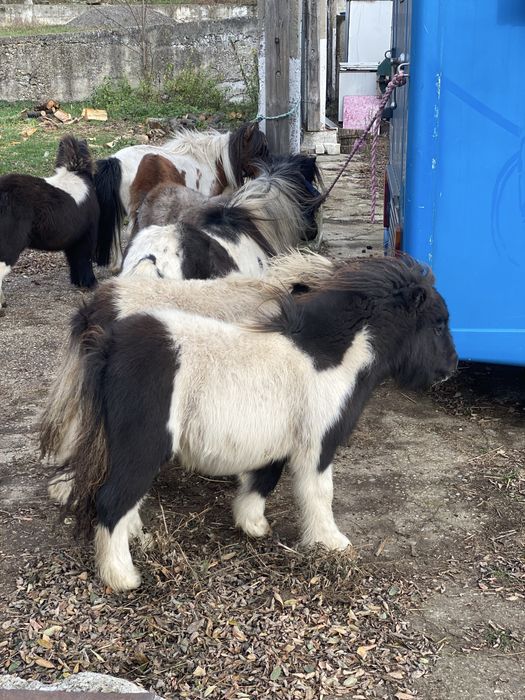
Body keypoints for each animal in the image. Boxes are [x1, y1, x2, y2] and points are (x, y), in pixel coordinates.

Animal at [0, 135, 100, 308]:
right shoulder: (86, 235)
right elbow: (83, 259)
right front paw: (89, 284)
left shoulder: (73, 239)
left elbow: (74, 260)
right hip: (9, 244)